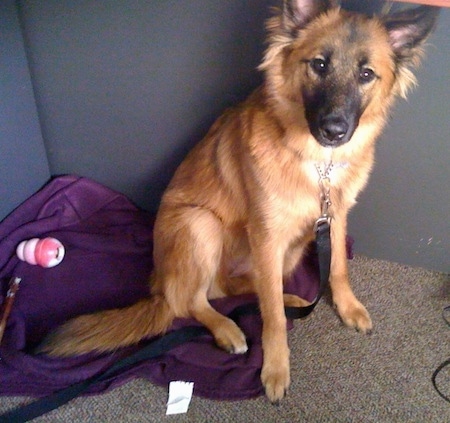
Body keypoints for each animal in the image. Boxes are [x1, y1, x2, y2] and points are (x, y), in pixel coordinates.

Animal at [39, 0, 440, 404]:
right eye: (320, 64)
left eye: (366, 74)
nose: (334, 130)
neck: (317, 163)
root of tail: (159, 283)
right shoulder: (267, 234)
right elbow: (272, 317)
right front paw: (276, 367)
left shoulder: (334, 217)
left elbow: (338, 267)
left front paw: (347, 306)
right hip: (201, 225)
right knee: (191, 301)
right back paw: (227, 327)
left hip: (292, 249)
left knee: (242, 288)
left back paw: (290, 298)